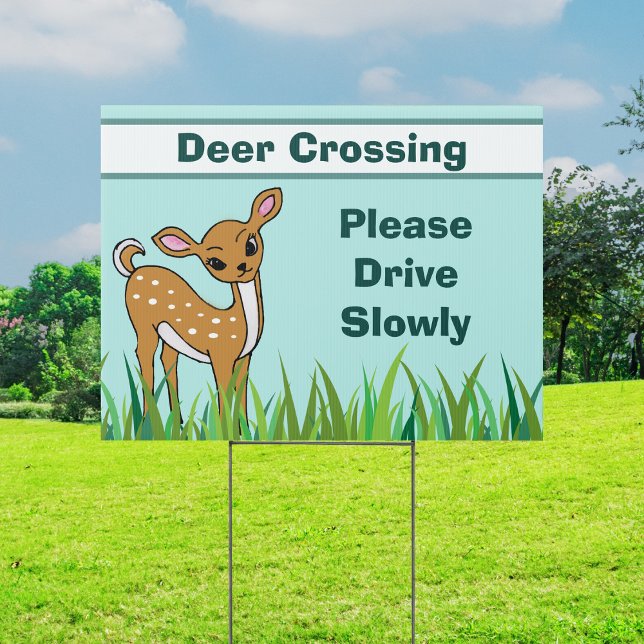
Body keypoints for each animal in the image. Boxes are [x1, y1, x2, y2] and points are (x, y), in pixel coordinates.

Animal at [112, 187, 282, 425]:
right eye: (215, 262)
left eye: (250, 245)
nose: (242, 267)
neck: (239, 322)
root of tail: (134, 270)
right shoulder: (220, 353)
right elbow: (224, 394)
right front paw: (224, 428)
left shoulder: (244, 357)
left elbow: (242, 395)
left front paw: (245, 428)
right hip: (142, 321)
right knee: (144, 353)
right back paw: (148, 421)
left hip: (170, 336)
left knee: (168, 359)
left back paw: (178, 421)